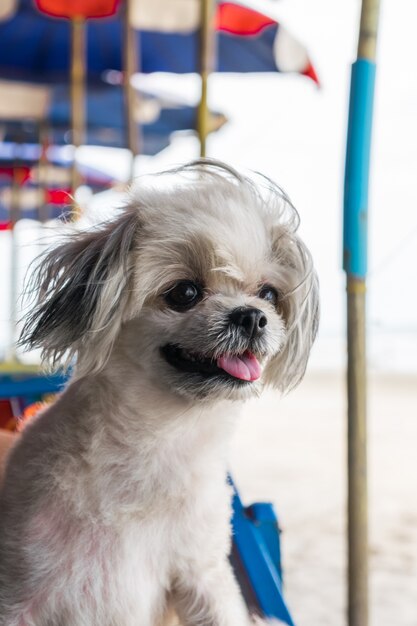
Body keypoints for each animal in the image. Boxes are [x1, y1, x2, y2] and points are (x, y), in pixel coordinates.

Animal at [0, 160, 318, 624]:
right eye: (184, 292)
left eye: (269, 294)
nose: (252, 317)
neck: (156, 444)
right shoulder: (22, 590)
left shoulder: (202, 575)